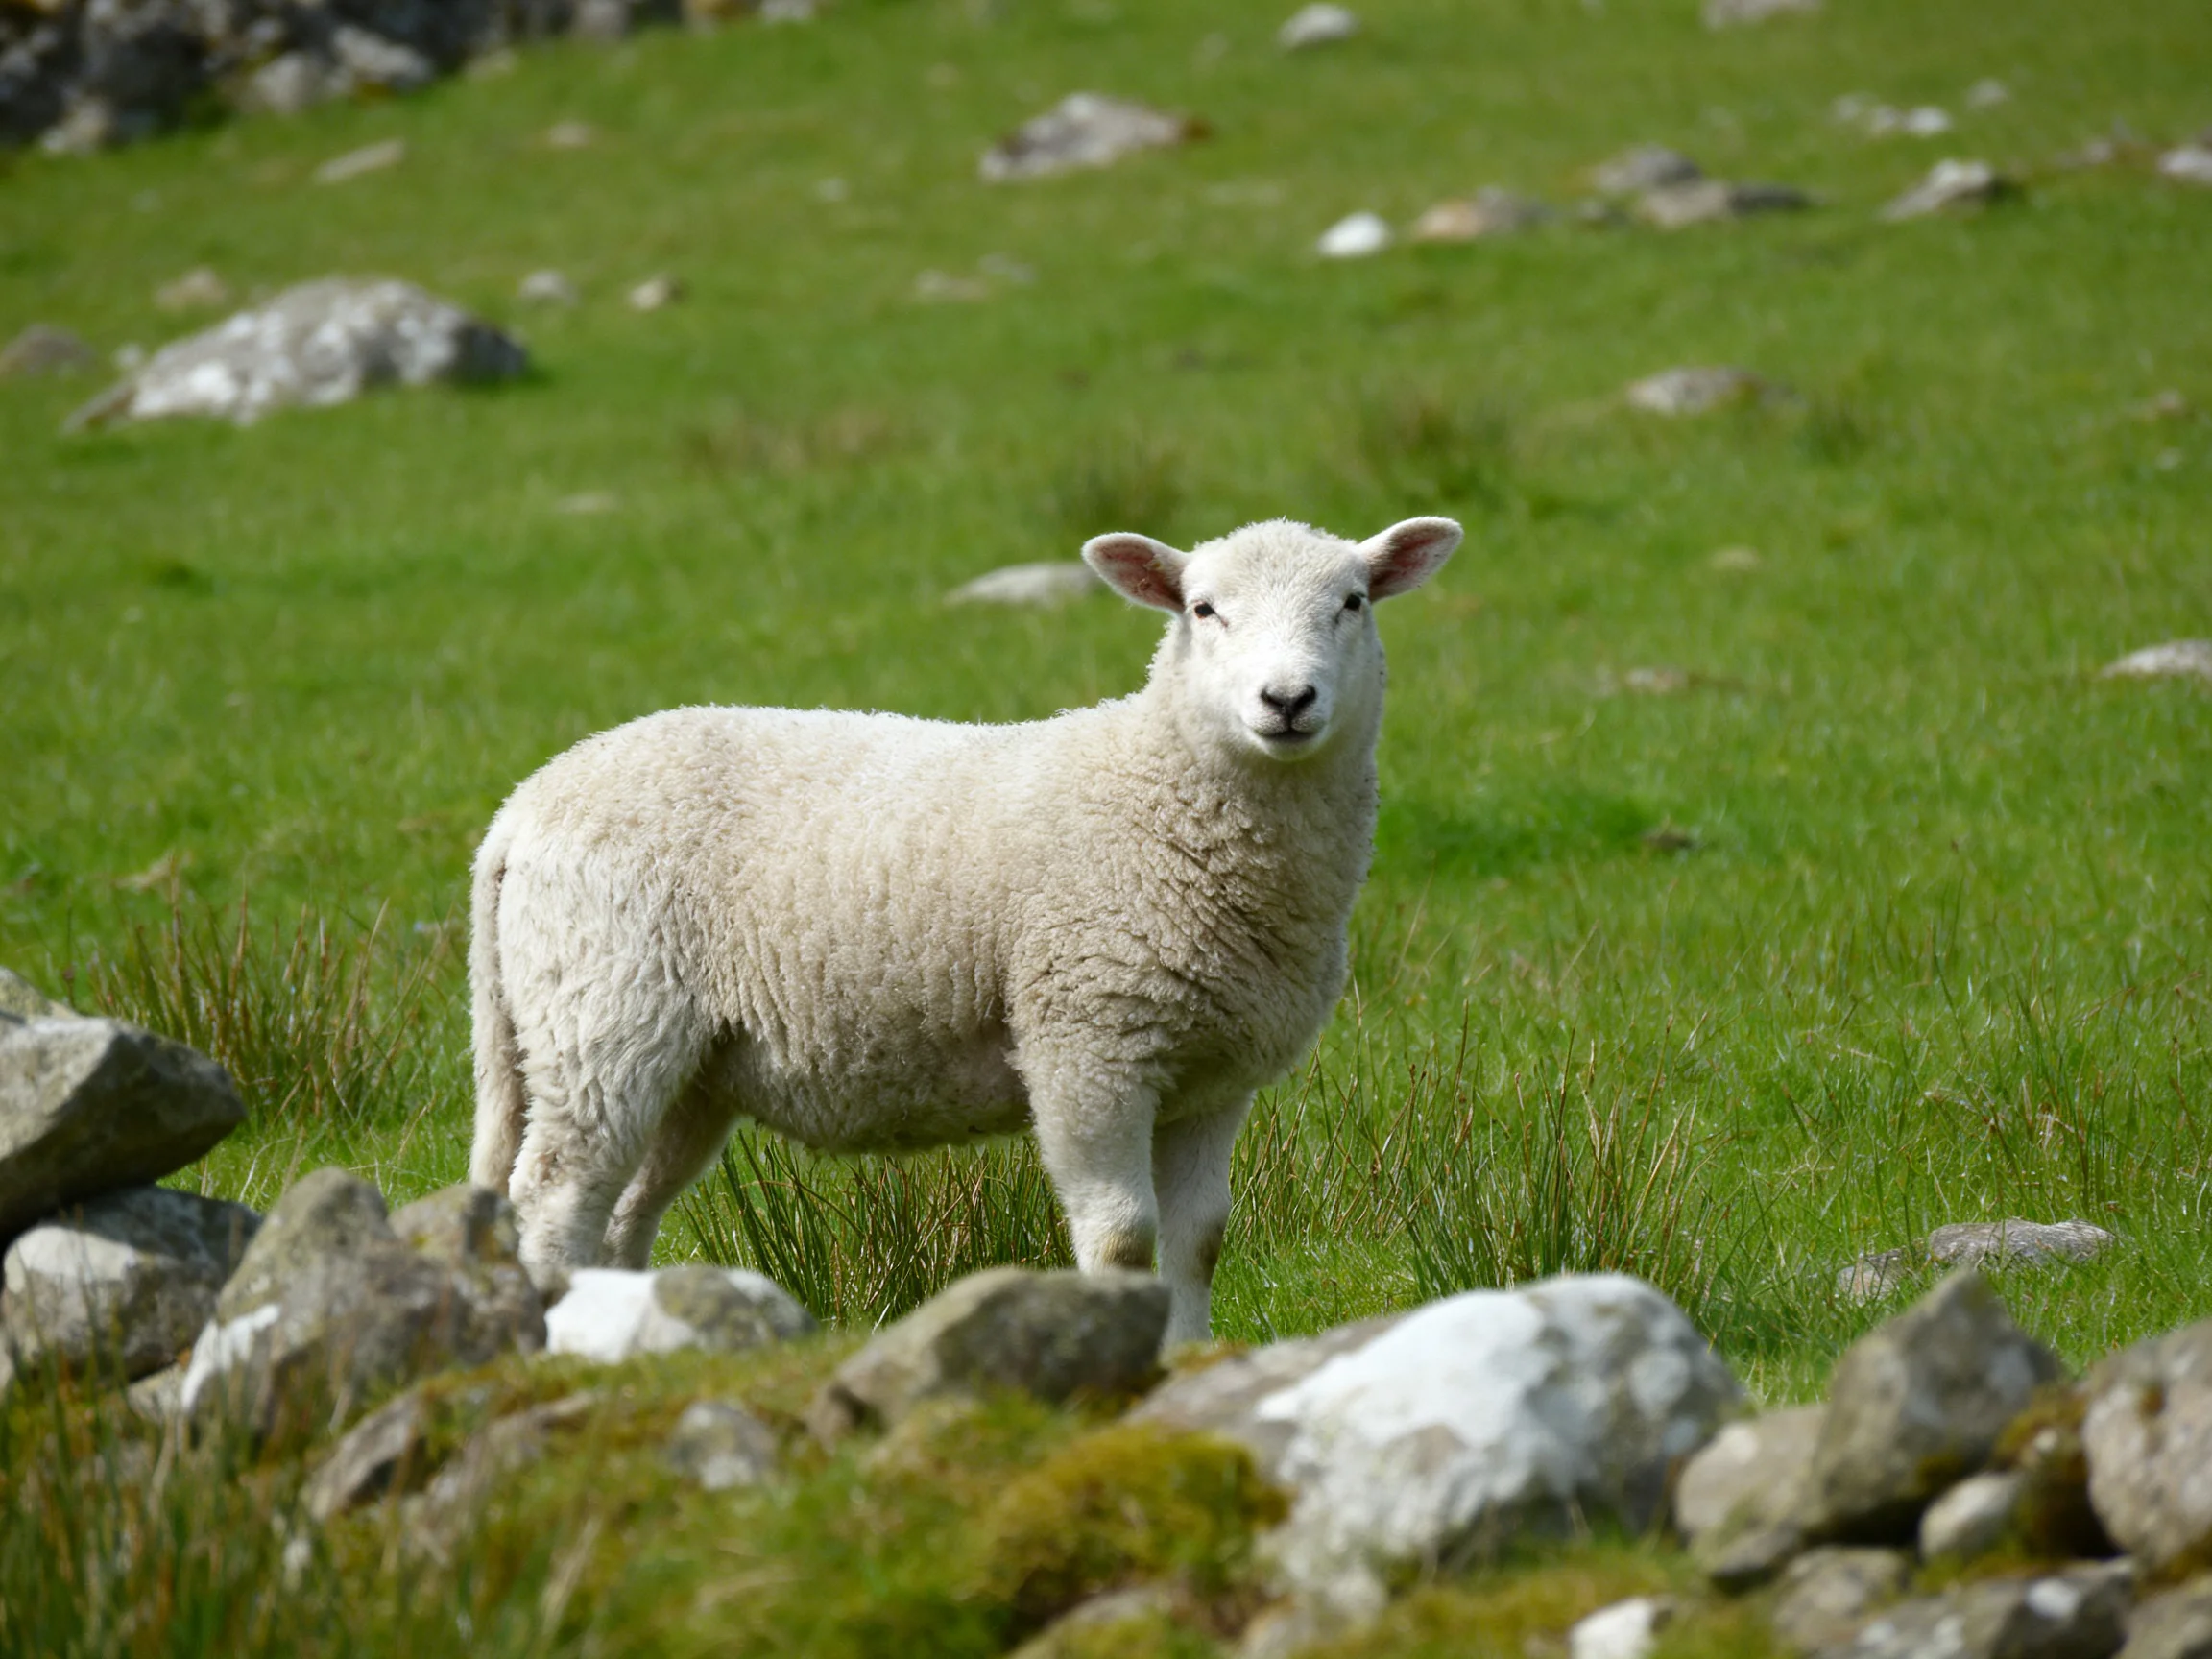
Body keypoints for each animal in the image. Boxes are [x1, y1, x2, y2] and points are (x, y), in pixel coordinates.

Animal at [468, 514, 1462, 1344]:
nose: (1286, 700)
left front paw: (1189, 1358)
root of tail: (523, 806)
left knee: (622, 1214)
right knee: (554, 1200)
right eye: (1202, 609)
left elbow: (1199, 1241)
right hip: (604, 1013)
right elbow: (1123, 1240)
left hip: (688, 1065)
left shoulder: (1213, 1076)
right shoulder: (1086, 1041)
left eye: (1353, 602)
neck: (1165, 794)